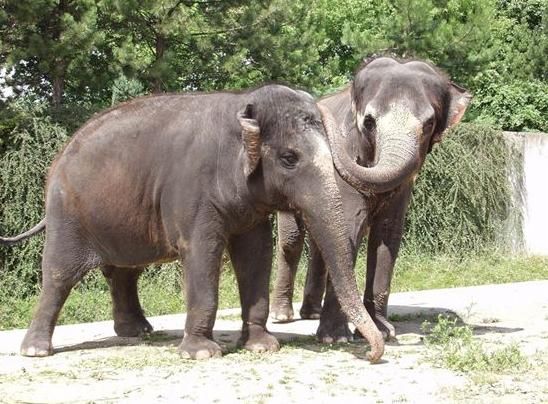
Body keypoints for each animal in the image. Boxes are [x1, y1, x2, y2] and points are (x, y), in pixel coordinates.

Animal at [1, 83, 386, 362]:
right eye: (289, 158)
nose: (371, 354)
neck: (241, 105)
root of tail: (58, 159)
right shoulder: (192, 194)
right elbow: (203, 253)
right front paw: (201, 354)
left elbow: (256, 254)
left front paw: (262, 346)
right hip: (68, 214)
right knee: (59, 274)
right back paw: (36, 350)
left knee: (124, 272)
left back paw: (137, 332)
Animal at [270, 56, 470, 340]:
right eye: (369, 122)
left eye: (429, 124)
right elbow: (348, 227)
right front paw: (336, 338)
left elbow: (387, 233)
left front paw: (383, 331)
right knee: (292, 241)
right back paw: (282, 316)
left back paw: (312, 314)